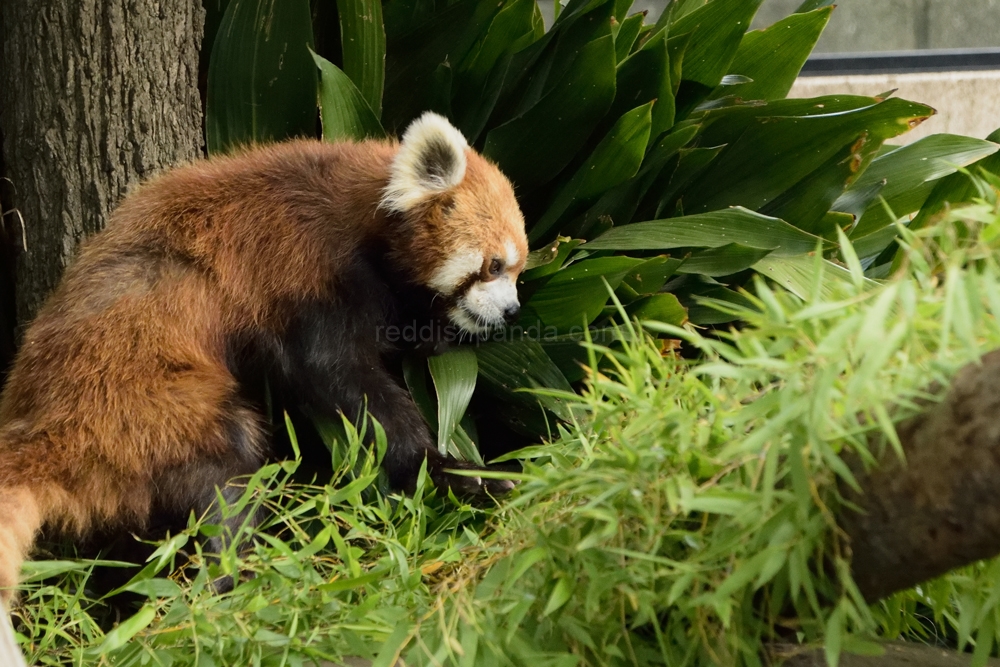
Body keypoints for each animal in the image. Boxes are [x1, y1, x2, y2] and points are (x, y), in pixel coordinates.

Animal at [0, 112, 532, 604]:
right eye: (494, 265)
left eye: (518, 271)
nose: (512, 311)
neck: (363, 218)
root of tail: (46, 424)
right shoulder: (302, 274)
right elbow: (341, 379)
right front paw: (441, 469)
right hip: (149, 406)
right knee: (228, 475)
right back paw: (233, 577)